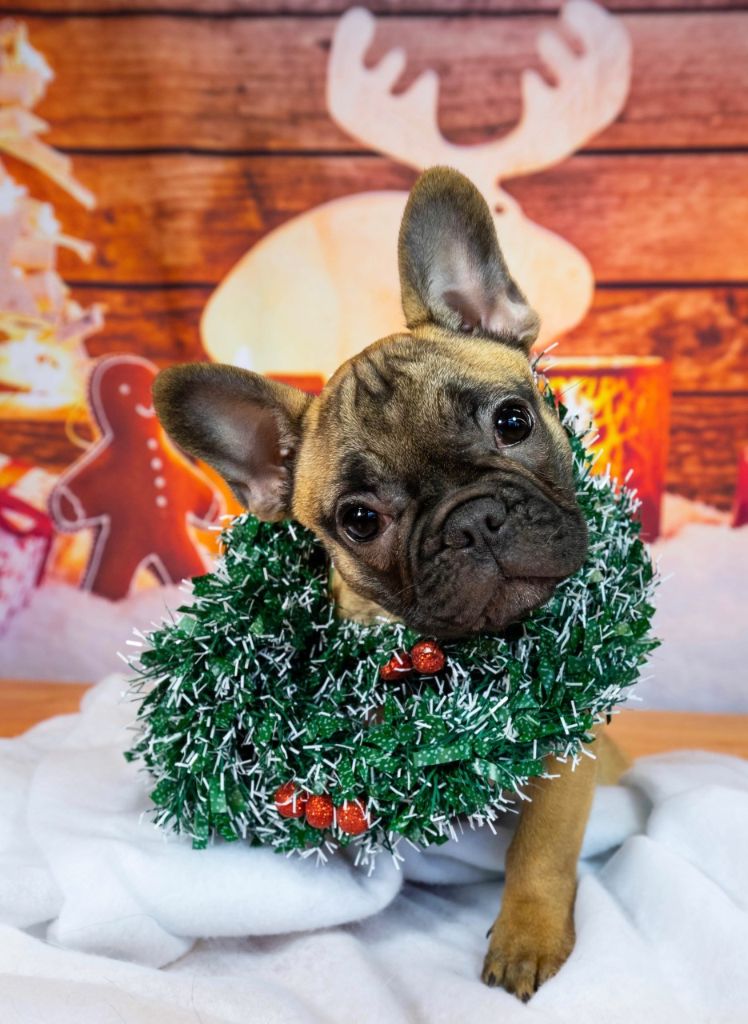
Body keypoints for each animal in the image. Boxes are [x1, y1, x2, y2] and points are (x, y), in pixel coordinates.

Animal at [149, 167, 618, 999]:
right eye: (361, 519)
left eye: (513, 421)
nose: (474, 521)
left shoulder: (569, 750)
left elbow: (541, 850)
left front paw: (527, 939)